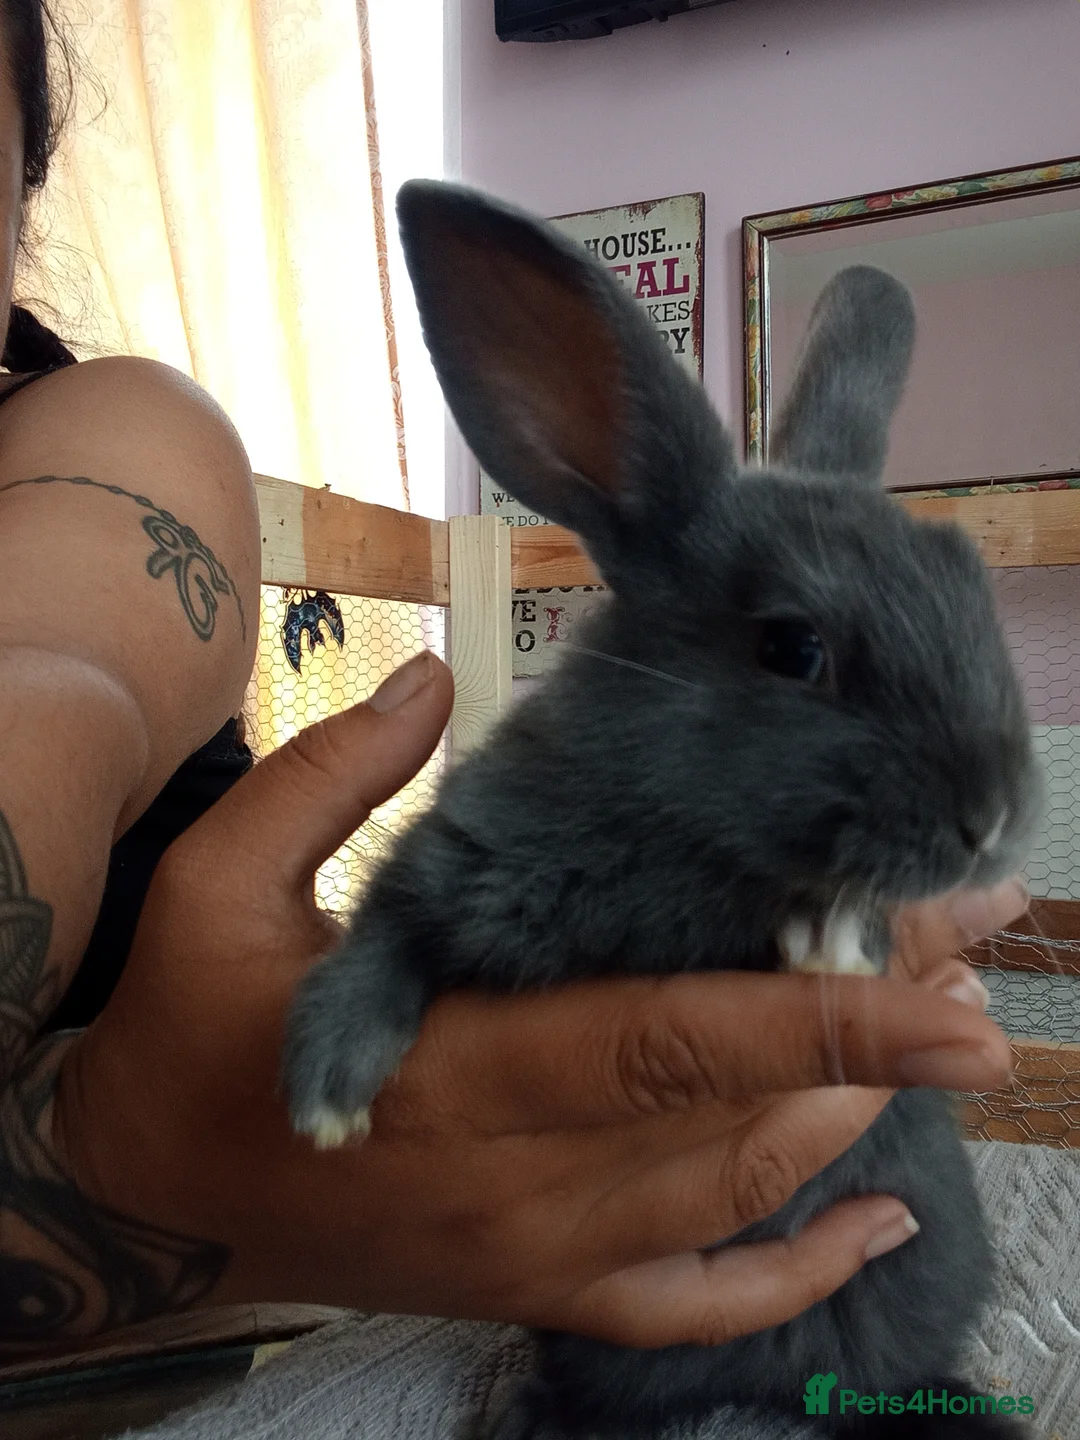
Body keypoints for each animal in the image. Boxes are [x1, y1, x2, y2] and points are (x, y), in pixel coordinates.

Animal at [283, 180, 1042, 1439]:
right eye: (794, 649)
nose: (993, 815)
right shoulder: (458, 864)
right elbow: (382, 940)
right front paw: (325, 1099)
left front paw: (833, 940)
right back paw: (524, 1415)